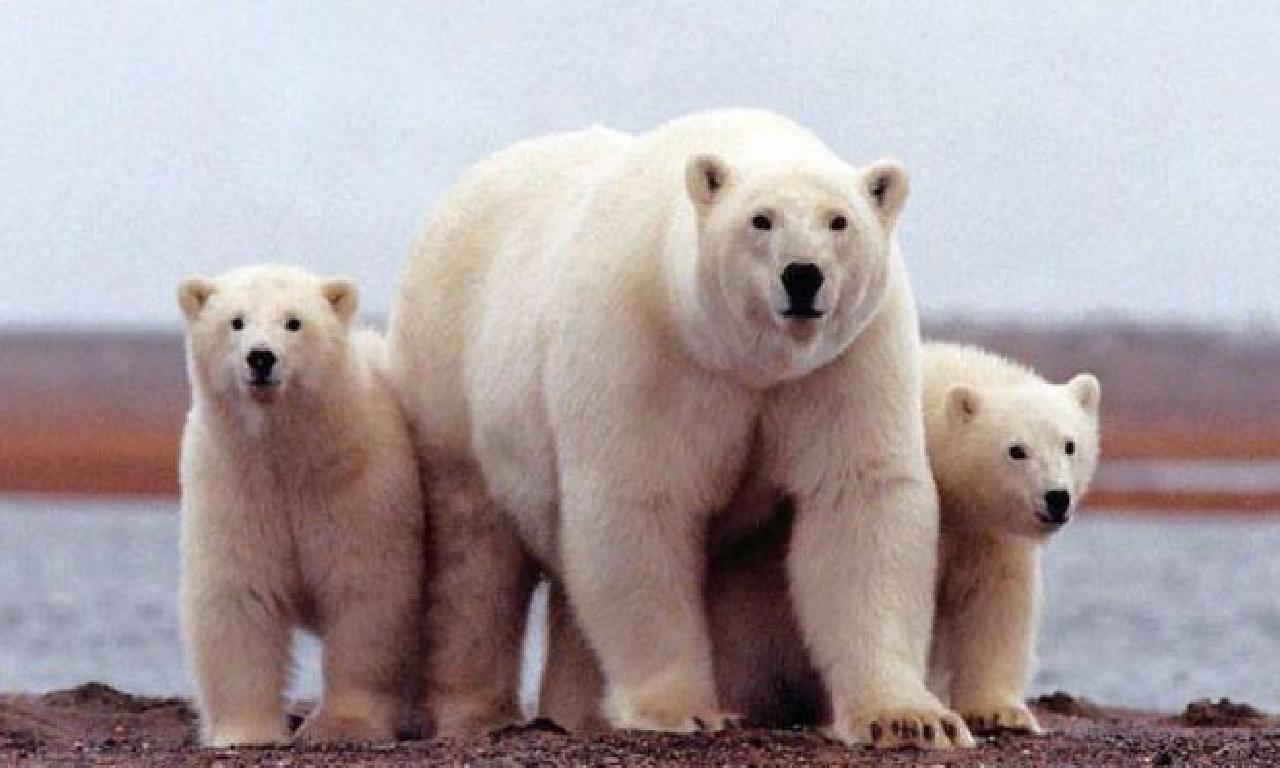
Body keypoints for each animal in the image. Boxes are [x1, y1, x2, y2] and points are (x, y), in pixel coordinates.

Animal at [177, 267, 424, 747]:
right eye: (236, 321)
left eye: (294, 322)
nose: (260, 358)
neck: (287, 456)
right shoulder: (233, 487)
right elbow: (238, 596)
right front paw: (246, 733)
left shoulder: (358, 487)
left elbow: (365, 595)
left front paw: (343, 726)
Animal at [386, 109, 967, 747]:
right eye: (760, 219)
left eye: (839, 221)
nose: (803, 276)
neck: (744, 359)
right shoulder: (646, 347)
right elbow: (641, 503)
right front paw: (681, 709)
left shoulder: (844, 361)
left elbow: (858, 497)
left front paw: (910, 719)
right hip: (450, 375)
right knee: (473, 553)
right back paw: (478, 712)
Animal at [545, 343, 1095, 737]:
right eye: (1016, 450)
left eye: (1070, 444)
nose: (1056, 498)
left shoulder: (986, 534)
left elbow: (996, 604)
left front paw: (1000, 713)